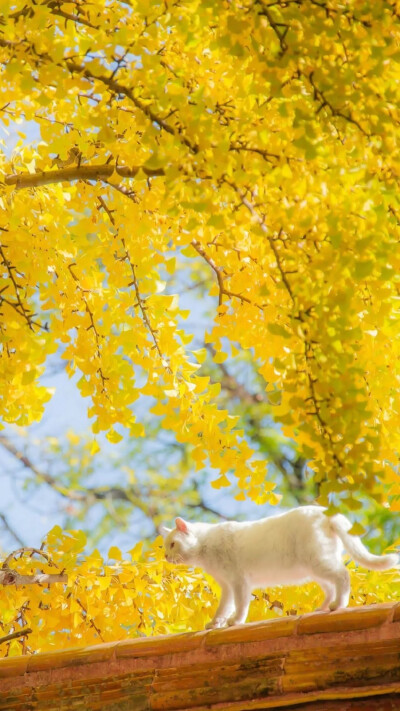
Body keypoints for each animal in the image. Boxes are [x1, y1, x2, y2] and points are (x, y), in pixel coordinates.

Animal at [161, 506, 398, 628]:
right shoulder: (226, 586)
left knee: (343, 576)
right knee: (331, 587)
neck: (205, 547)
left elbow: (240, 605)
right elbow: (223, 607)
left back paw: (338, 605)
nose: (165, 556)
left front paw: (235, 621)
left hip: (319, 562)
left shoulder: (239, 582)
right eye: (166, 546)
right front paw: (215, 623)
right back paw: (322, 608)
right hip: (314, 568)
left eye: (172, 544)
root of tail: (324, 510)